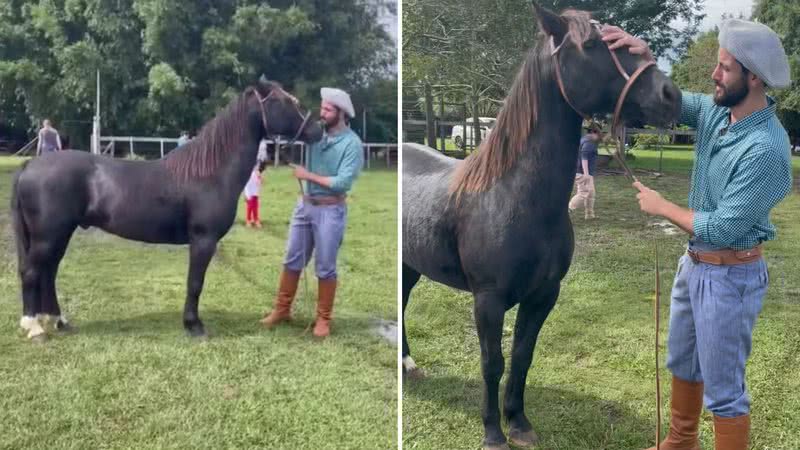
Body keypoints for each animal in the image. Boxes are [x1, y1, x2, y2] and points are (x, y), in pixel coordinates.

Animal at [10, 78, 324, 342]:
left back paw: (58, 321)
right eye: (285, 101)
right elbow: (195, 283)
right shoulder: (203, 240)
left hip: (59, 235)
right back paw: (34, 327)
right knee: (32, 272)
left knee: (49, 272)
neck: (210, 172)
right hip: (49, 236)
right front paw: (194, 326)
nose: (318, 128)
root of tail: (29, 166)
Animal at [404, 4, 680, 450]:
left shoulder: (544, 295)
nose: (671, 96)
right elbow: (492, 362)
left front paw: (518, 422)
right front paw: (493, 432)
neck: (513, 196)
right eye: (591, 44)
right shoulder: (488, 300)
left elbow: (522, 357)